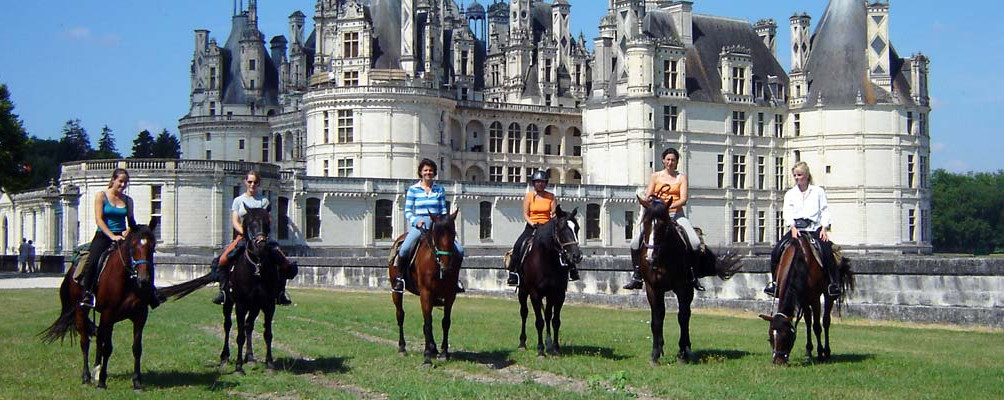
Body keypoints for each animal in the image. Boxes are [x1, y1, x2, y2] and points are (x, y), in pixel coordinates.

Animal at [40, 220, 158, 389]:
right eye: (133, 247)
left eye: (153, 247)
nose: (144, 280)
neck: (127, 280)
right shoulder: (109, 314)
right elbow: (107, 348)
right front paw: (102, 381)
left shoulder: (140, 316)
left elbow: (136, 348)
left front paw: (137, 381)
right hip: (81, 311)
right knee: (85, 342)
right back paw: (87, 376)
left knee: (99, 339)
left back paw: (96, 370)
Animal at [389, 209, 463, 365]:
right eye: (436, 234)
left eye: (453, 233)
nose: (446, 266)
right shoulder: (426, 293)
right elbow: (428, 323)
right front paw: (427, 357)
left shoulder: (450, 295)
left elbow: (445, 322)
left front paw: (444, 352)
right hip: (397, 292)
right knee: (400, 315)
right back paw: (402, 347)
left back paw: (433, 347)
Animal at [514, 206, 586, 355]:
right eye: (562, 229)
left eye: (577, 228)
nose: (576, 256)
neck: (547, 259)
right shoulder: (535, 294)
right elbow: (539, 321)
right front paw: (540, 350)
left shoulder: (558, 293)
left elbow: (555, 320)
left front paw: (555, 348)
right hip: (523, 291)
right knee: (524, 313)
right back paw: (522, 343)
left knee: (547, 315)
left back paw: (549, 344)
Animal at [638, 196, 742, 365]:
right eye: (645, 223)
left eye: (663, 225)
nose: (649, 258)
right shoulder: (652, 288)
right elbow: (656, 319)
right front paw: (655, 354)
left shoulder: (682, 287)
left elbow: (682, 317)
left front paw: (682, 353)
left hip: (689, 289)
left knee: (686, 315)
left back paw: (686, 349)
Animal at [759, 234, 855, 365]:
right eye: (770, 338)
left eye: (786, 336)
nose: (778, 361)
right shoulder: (803, 298)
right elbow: (808, 322)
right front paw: (810, 351)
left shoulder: (814, 299)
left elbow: (817, 326)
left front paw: (820, 353)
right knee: (809, 321)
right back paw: (809, 351)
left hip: (828, 294)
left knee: (826, 321)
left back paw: (826, 352)